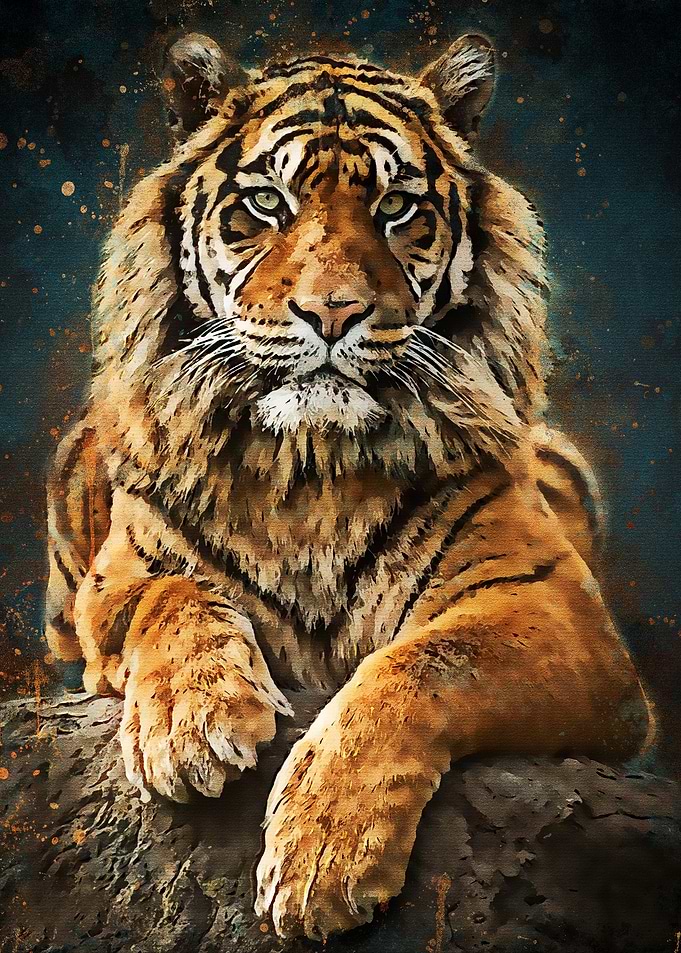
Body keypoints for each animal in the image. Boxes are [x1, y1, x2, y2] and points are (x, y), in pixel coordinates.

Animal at [44, 32, 653, 940]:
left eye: (398, 208)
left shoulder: (554, 607)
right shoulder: (114, 581)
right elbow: (172, 596)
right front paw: (194, 725)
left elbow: (426, 661)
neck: (310, 469)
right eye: (265, 202)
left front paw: (321, 859)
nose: (332, 312)